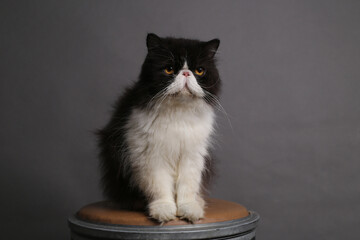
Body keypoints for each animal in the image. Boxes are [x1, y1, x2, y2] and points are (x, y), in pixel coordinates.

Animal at [98, 33, 222, 223]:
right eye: (169, 69)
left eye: (199, 71)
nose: (186, 73)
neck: (178, 113)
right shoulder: (150, 156)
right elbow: (159, 187)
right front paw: (163, 211)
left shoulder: (192, 155)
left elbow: (187, 187)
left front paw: (189, 210)